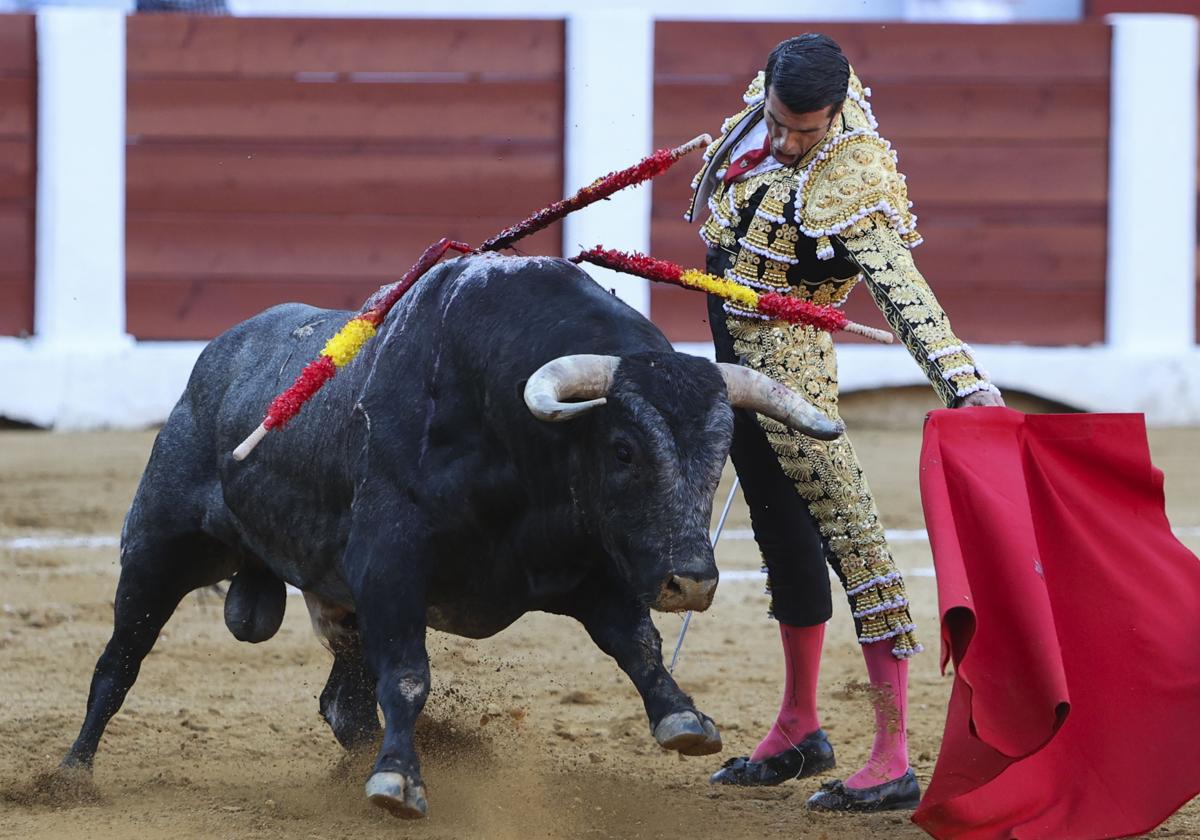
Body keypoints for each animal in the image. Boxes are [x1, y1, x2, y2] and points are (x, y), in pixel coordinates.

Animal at [60, 253, 840, 816]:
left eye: (720, 453)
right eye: (622, 450)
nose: (691, 581)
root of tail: (216, 359)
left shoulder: (590, 567)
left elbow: (638, 644)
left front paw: (683, 720)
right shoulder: (389, 564)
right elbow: (408, 675)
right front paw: (399, 785)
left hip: (337, 601)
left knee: (343, 703)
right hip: (159, 547)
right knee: (118, 663)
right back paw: (70, 775)